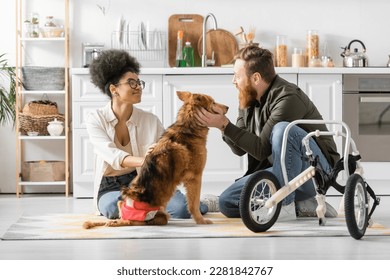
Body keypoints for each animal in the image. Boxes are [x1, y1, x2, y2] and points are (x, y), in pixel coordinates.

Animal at [83, 91, 229, 229]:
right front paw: (201, 221)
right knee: (134, 222)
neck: (188, 127)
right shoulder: (195, 177)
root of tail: (125, 217)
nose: (227, 107)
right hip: (161, 215)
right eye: (213, 102)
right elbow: (194, 204)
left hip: (124, 202)